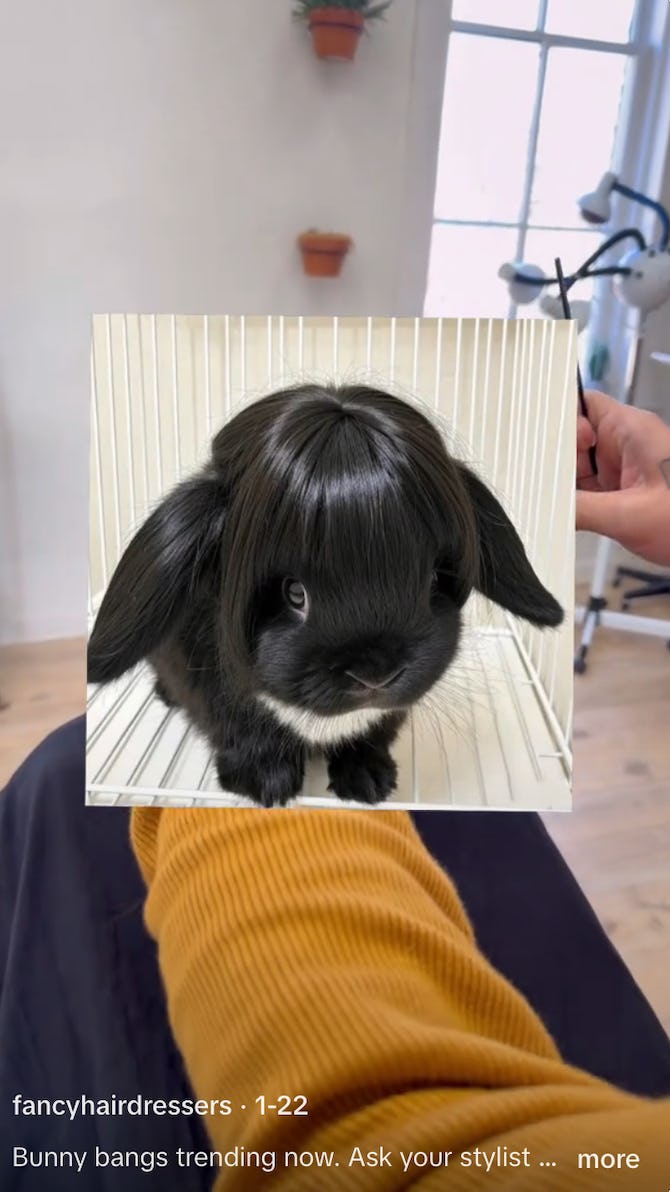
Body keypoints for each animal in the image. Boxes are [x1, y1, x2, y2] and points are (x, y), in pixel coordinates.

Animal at [87, 383, 564, 807]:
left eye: (432, 579)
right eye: (294, 593)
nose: (376, 676)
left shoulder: (385, 715)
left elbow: (369, 736)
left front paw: (370, 782)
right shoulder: (218, 698)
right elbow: (246, 733)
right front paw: (267, 785)